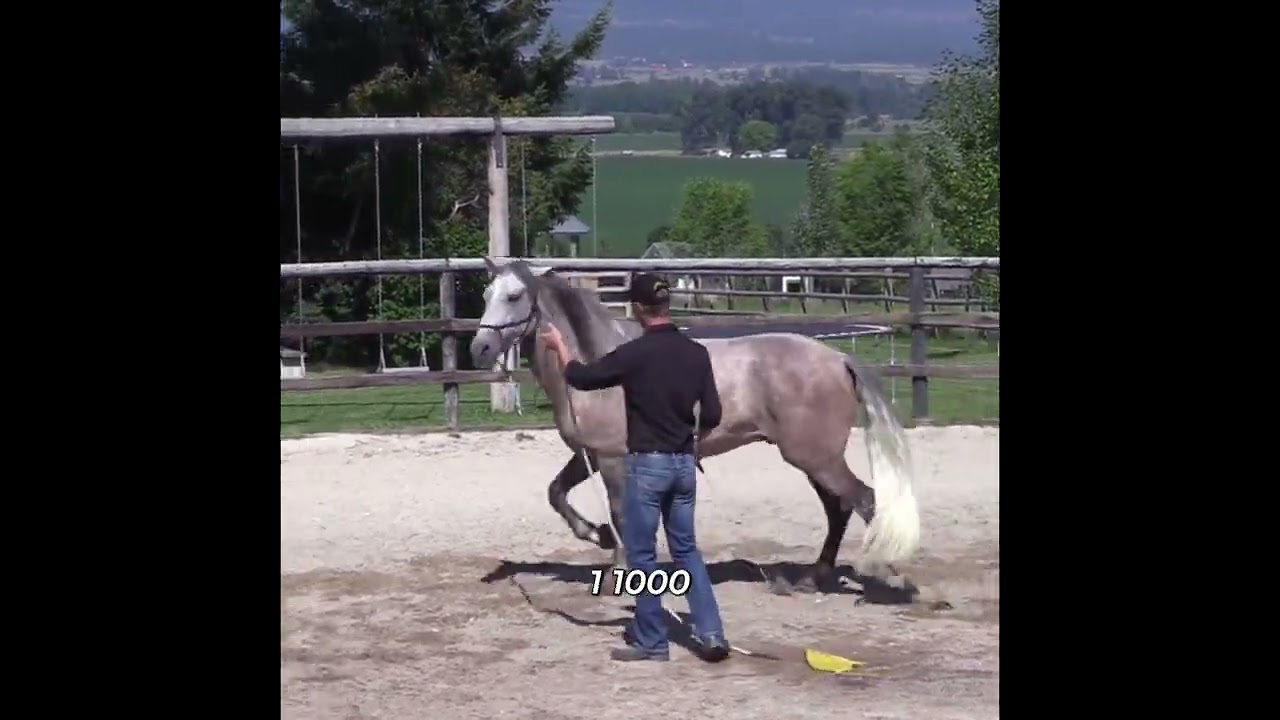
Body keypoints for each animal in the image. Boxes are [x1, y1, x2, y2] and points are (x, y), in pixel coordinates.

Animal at [469, 258, 921, 592]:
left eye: (514, 296)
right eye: (486, 294)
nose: (480, 348)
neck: (595, 364)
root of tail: (838, 359)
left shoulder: (613, 458)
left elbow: (619, 512)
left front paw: (618, 567)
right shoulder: (591, 455)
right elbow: (557, 493)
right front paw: (597, 535)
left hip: (815, 458)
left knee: (865, 502)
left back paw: (890, 575)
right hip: (814, 459)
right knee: (839, 508)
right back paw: (815, 577)